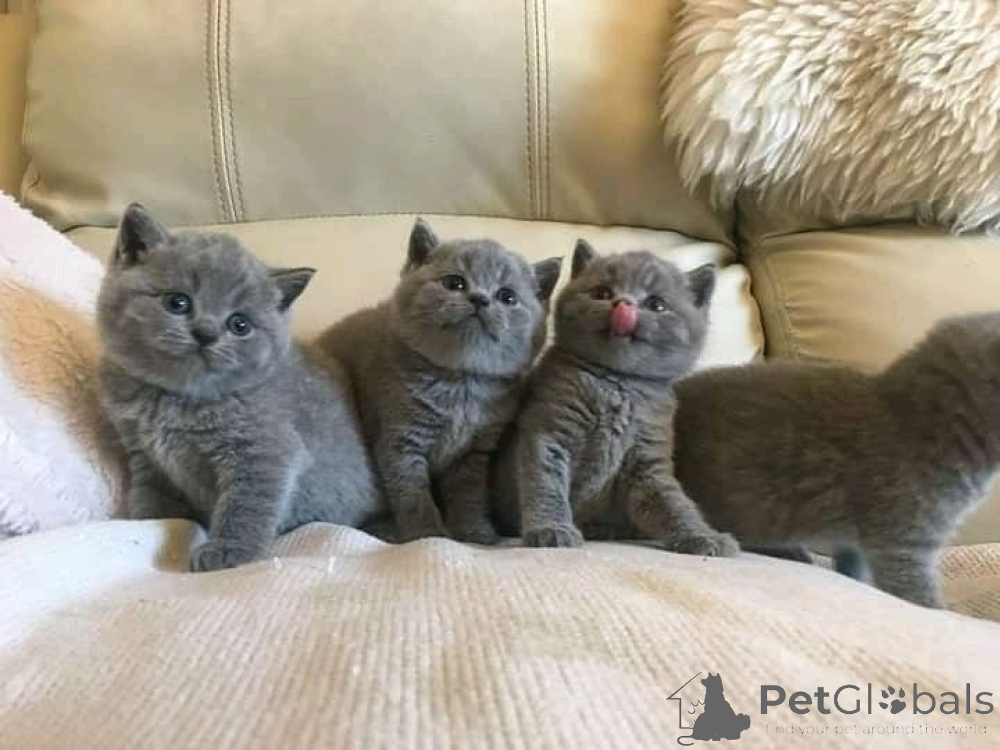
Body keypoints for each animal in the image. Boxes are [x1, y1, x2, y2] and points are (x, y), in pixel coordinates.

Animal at [97, 203, 385, 572]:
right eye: (178, 302)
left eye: (240, 325)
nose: (205, 333)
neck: (173, 397)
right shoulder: (145, 454)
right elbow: (151, 497)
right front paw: (150, 522)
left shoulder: (266, 451)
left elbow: (247, 504)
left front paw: (227, 551)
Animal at [317, 219, 561, 544]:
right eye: (455, 283)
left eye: (507, 297)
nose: (480, 299)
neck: (461, 382)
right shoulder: (401, 439)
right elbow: (413, 494)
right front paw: (427, 534)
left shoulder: (473, 453)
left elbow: (468, 495)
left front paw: (474, 531)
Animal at [492, 240, 739, 556]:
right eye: (602, 293)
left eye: (656, 304)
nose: (624, 305)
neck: (617, 384)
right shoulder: (548, 432)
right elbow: (546, 483)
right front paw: (551, 529)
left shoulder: (648, 460)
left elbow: (672, 503)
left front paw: (703, 536)